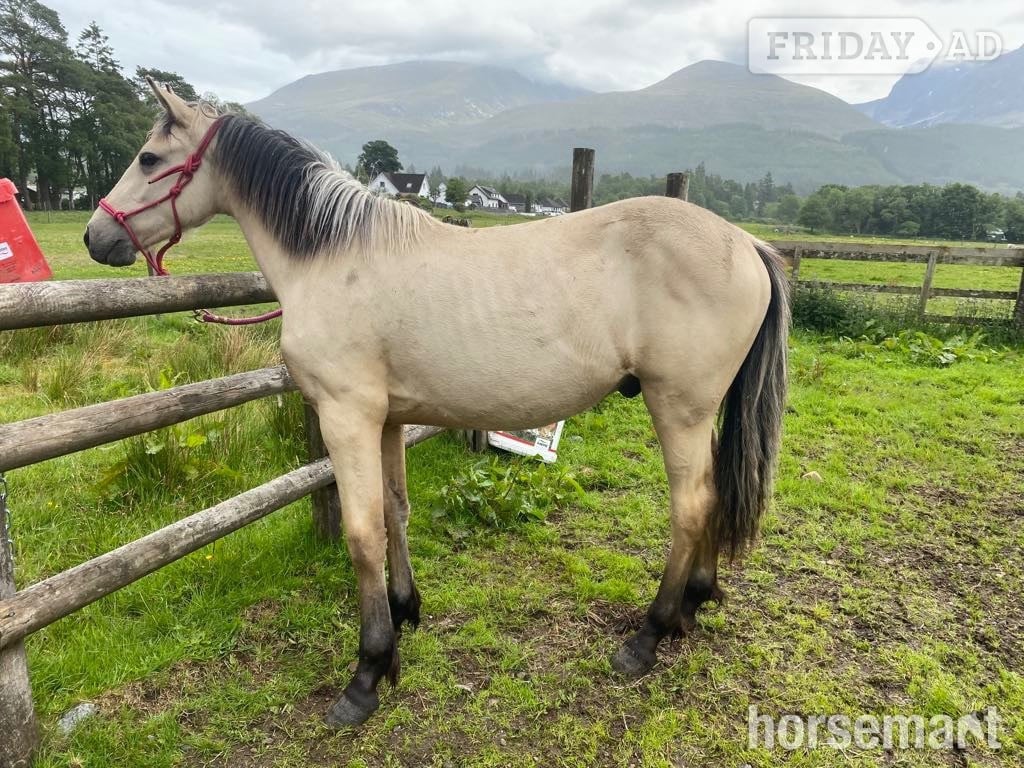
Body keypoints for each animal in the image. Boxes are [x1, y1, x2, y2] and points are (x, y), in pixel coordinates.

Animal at [84, 81, 789, 728]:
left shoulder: (346, 416)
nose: (95, 236)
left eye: (148, 157)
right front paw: (404, 613)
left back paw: (648, 636)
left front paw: (367, 674)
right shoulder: (387, 420)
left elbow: (361, 533)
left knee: (690, 505)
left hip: (680, 409)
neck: (336, 257)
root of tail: (747, 244)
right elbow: (395, 513)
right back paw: (694, 603)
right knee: (714, 495)